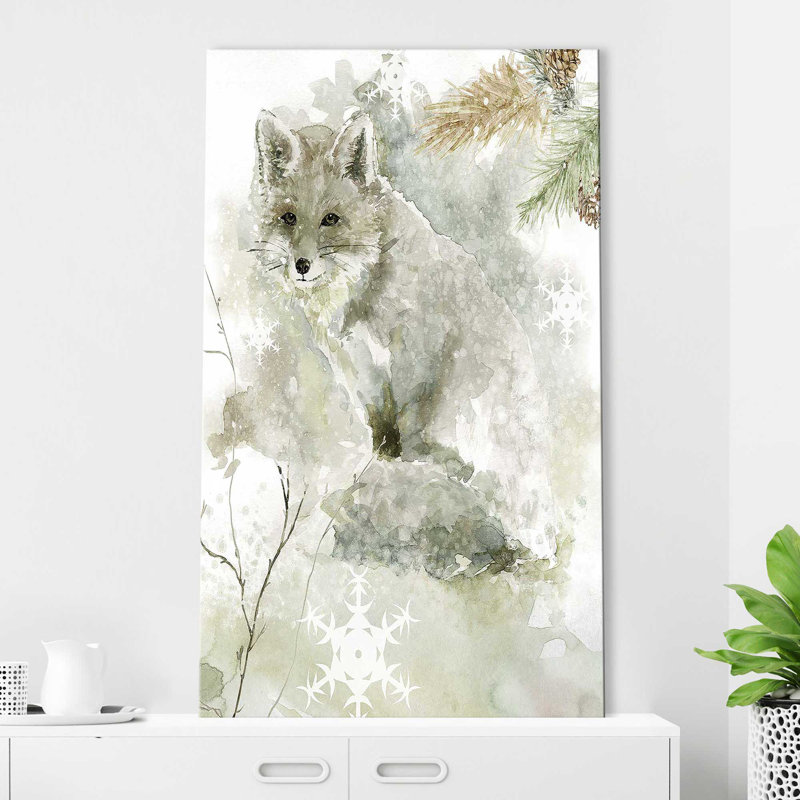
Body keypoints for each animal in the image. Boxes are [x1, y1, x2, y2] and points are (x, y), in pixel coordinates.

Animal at [246, 110, 554, 576]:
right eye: (289, 218)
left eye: (330, 219)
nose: (301, 265)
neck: (363, 281)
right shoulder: (358, 368)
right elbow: (382, 438)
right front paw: (379, 466)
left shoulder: (416, 355)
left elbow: (408, 435)